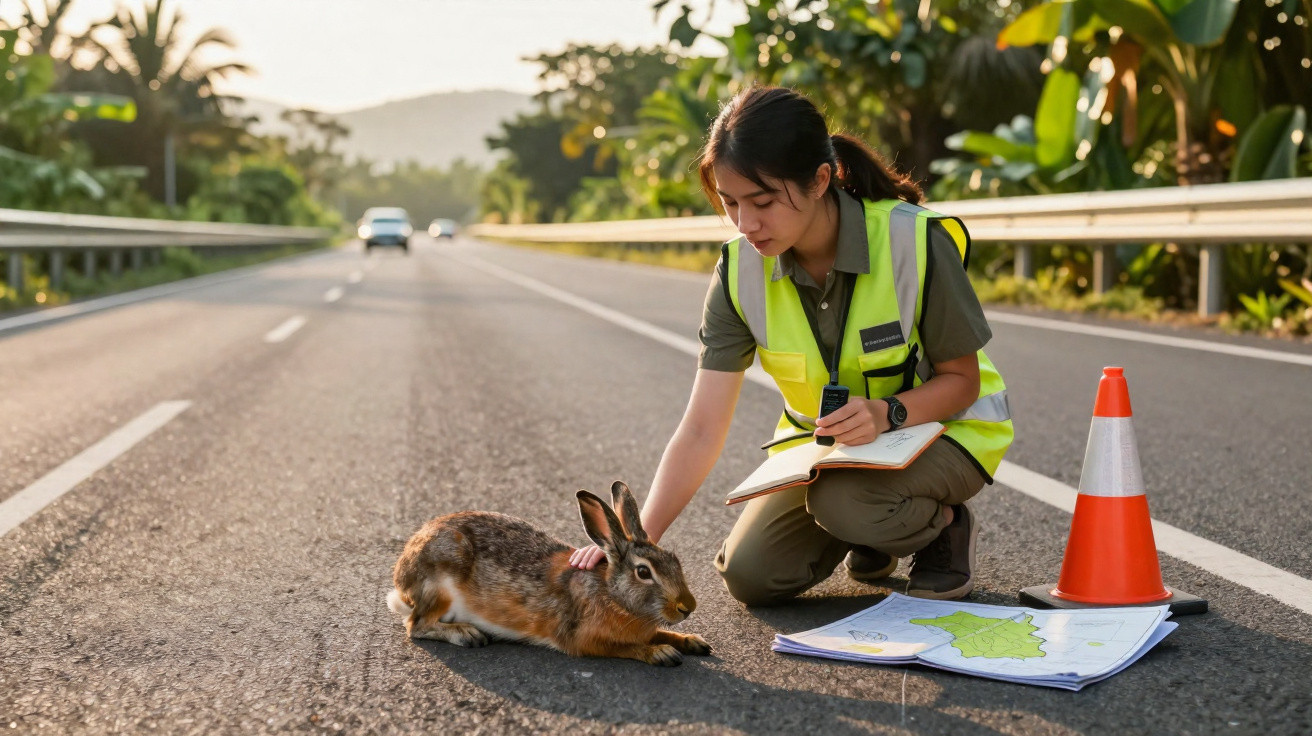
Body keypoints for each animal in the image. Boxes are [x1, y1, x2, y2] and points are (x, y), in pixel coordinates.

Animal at [387, 480, 711, 666]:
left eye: (674, 559)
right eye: (644, 572)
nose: (687, 607)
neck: (612, 595)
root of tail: (402, 584)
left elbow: (661, 632)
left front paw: (692, 641)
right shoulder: (585, 640)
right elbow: (627, 646)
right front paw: (660, 653)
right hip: (439, 582)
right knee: (416, 626)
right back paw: (467, 634)